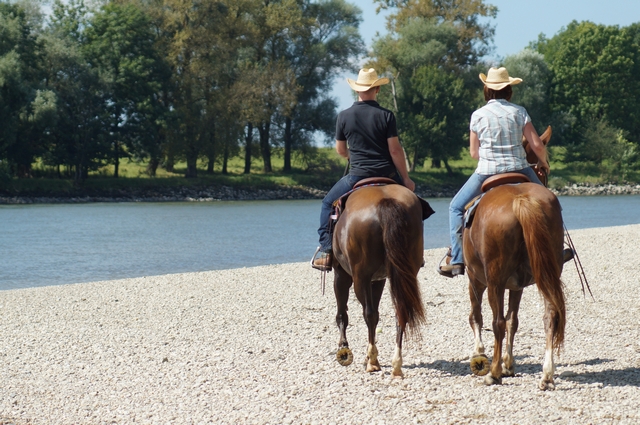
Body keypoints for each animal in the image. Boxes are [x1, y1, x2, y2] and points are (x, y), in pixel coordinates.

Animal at [332, 184, 428, 376]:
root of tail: (385, 202)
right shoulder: (378, 279)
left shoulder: (342, 273)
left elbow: (342, 313)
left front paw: (344, 349)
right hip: (405, 273)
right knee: (400, 312)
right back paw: (396, 363)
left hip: (360, 277)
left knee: (369, 313)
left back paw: (373, 361)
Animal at [462, 178, 568, 388]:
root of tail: (522, 199)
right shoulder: (516, 287)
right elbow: (513, 321)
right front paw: (509, 364)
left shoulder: (475, 279)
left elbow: (477, 316)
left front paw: (479, 353)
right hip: (548, 275)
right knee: (550, 317)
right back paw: (547, 375)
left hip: (494, 282)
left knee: (498, 323)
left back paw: (494, 373)